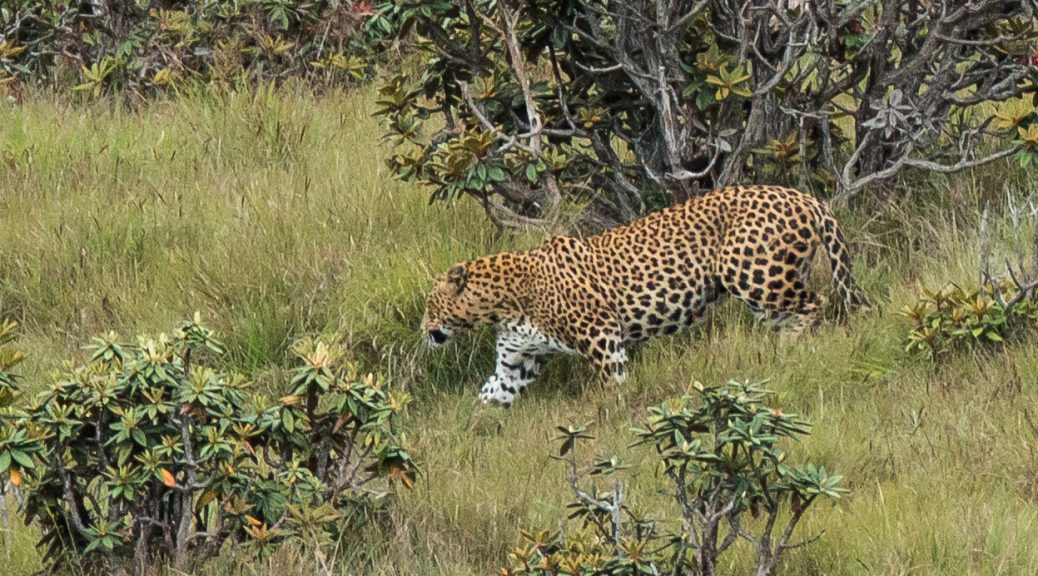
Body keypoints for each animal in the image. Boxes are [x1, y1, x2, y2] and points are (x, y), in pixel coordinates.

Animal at [421, 185, 870, 406]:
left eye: (430, 305)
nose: (423, 329)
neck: (502, 303)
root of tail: (805, 196)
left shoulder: (601, 334)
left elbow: (614, 383)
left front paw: (612, 416)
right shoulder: (516, 362)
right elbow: (490, 395)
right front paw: (463, 433)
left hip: (752, 275)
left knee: (816, 304)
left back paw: (792, 350)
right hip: (769, 288)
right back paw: (783, 354)